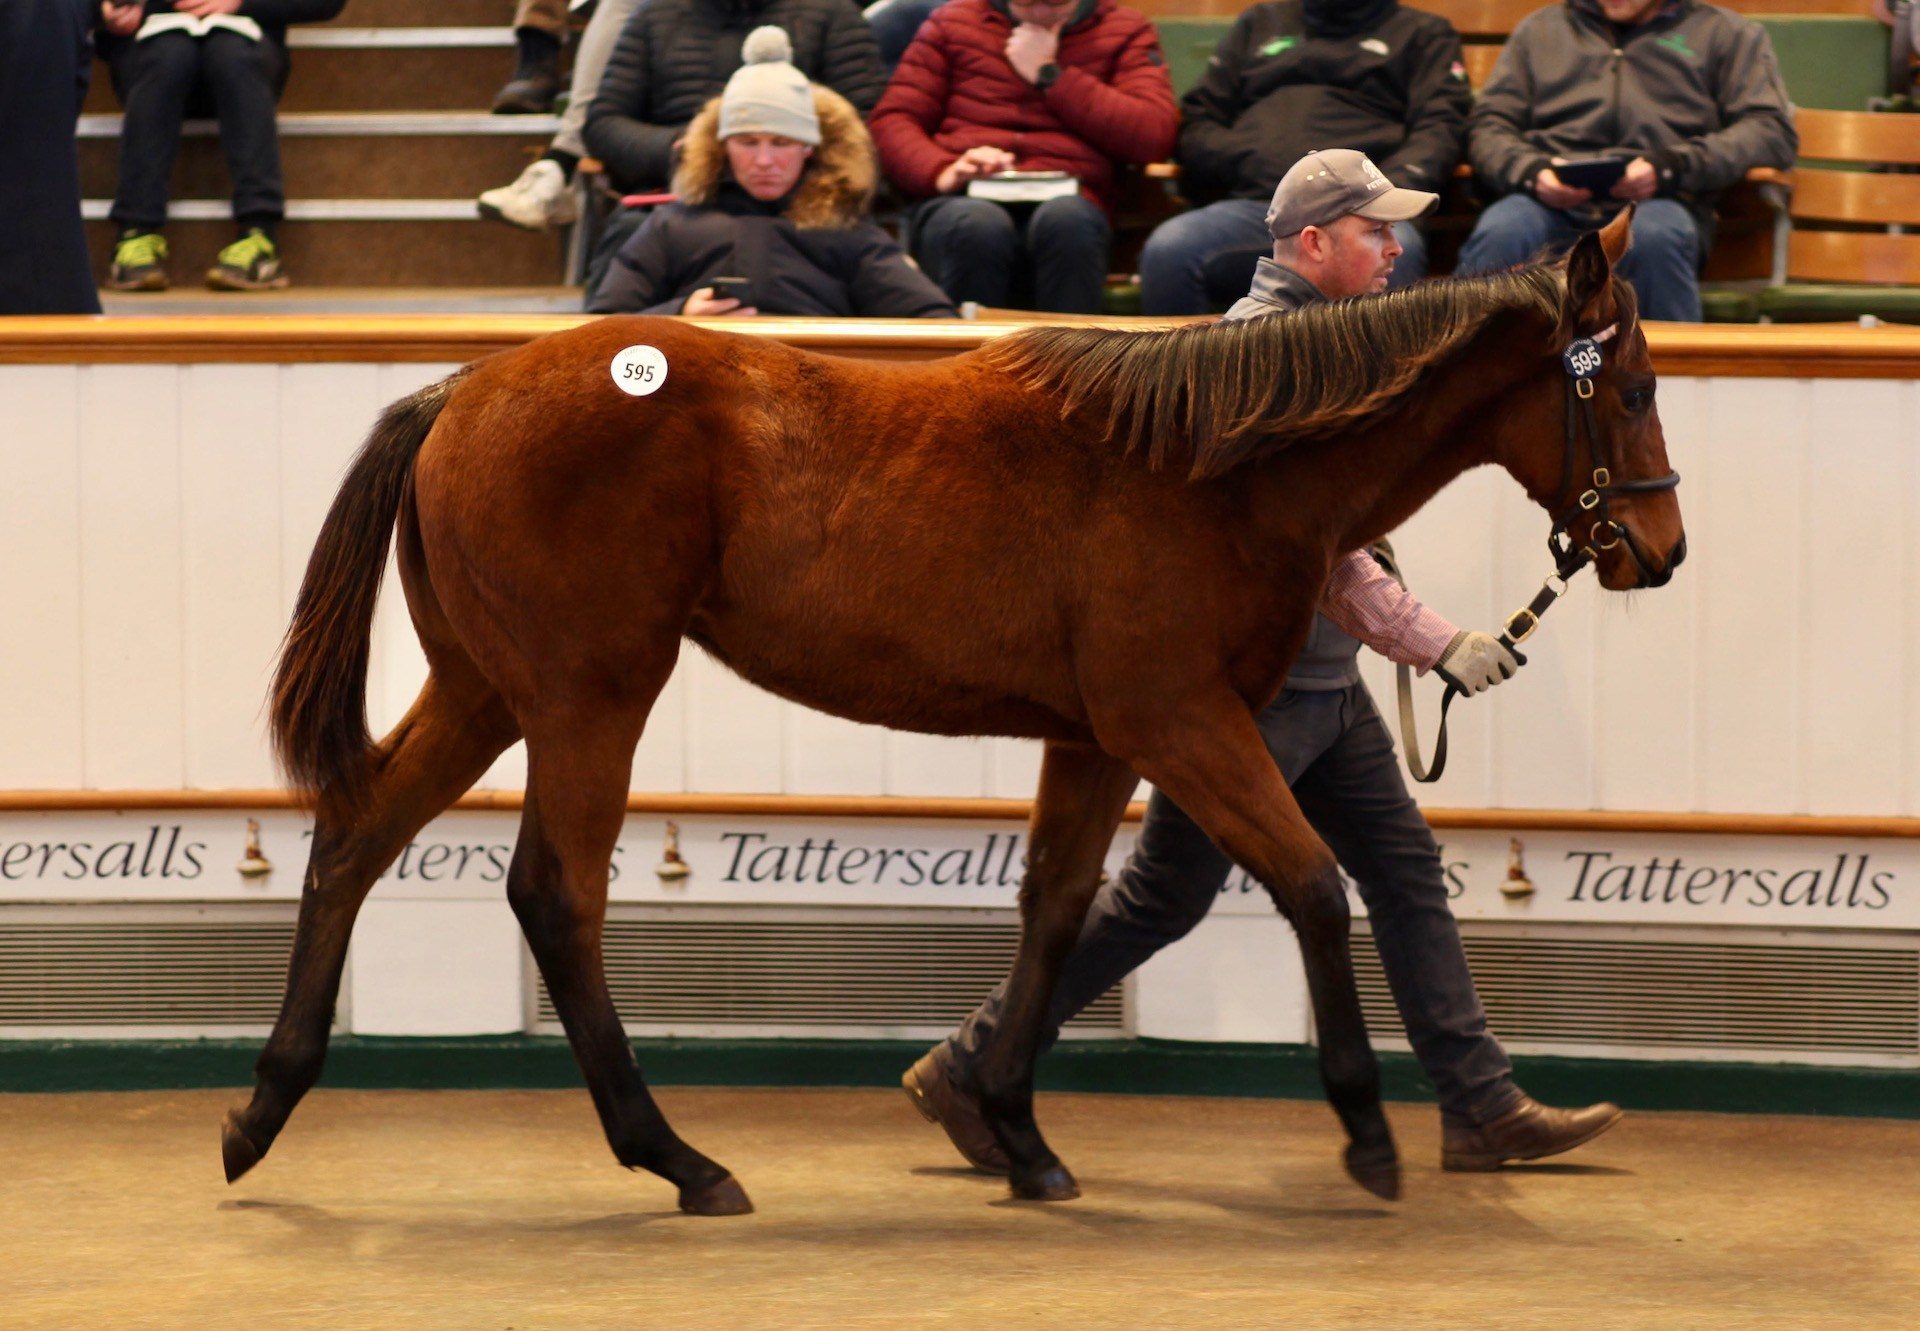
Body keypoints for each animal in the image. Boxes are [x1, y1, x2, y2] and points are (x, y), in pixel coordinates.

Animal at [225, 210, 1683, 1216]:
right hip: (592, 695)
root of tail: (457, 390)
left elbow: (1057, 909)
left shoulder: (1093, 737)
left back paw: (260, 1109)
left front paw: (1016, 1131)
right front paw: (1367, 1132)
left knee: (354, 837)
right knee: (553, 892)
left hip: (485, 689)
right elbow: (1317, 882)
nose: (1658, 552)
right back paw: (678, 1156)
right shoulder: (1179, 721)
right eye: (1630, 387)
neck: (1213, 465)